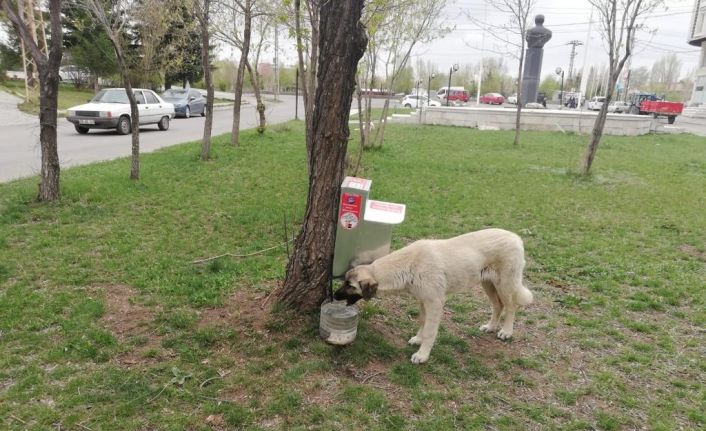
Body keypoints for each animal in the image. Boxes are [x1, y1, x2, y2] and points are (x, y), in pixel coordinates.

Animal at [332, 230, 532, 364]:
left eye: (350, 286)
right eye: (344, 281)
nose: (334, 294)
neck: (407, 264)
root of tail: (516, 237)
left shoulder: (435, 303)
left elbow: (430, 330)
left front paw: (422, 355)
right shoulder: (423, 301)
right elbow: (422, 322)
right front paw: (418, 339)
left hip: (505, 284)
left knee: (511, 306)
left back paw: (506, 331)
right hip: (488, 283)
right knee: (498, 306)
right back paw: (490, 327)